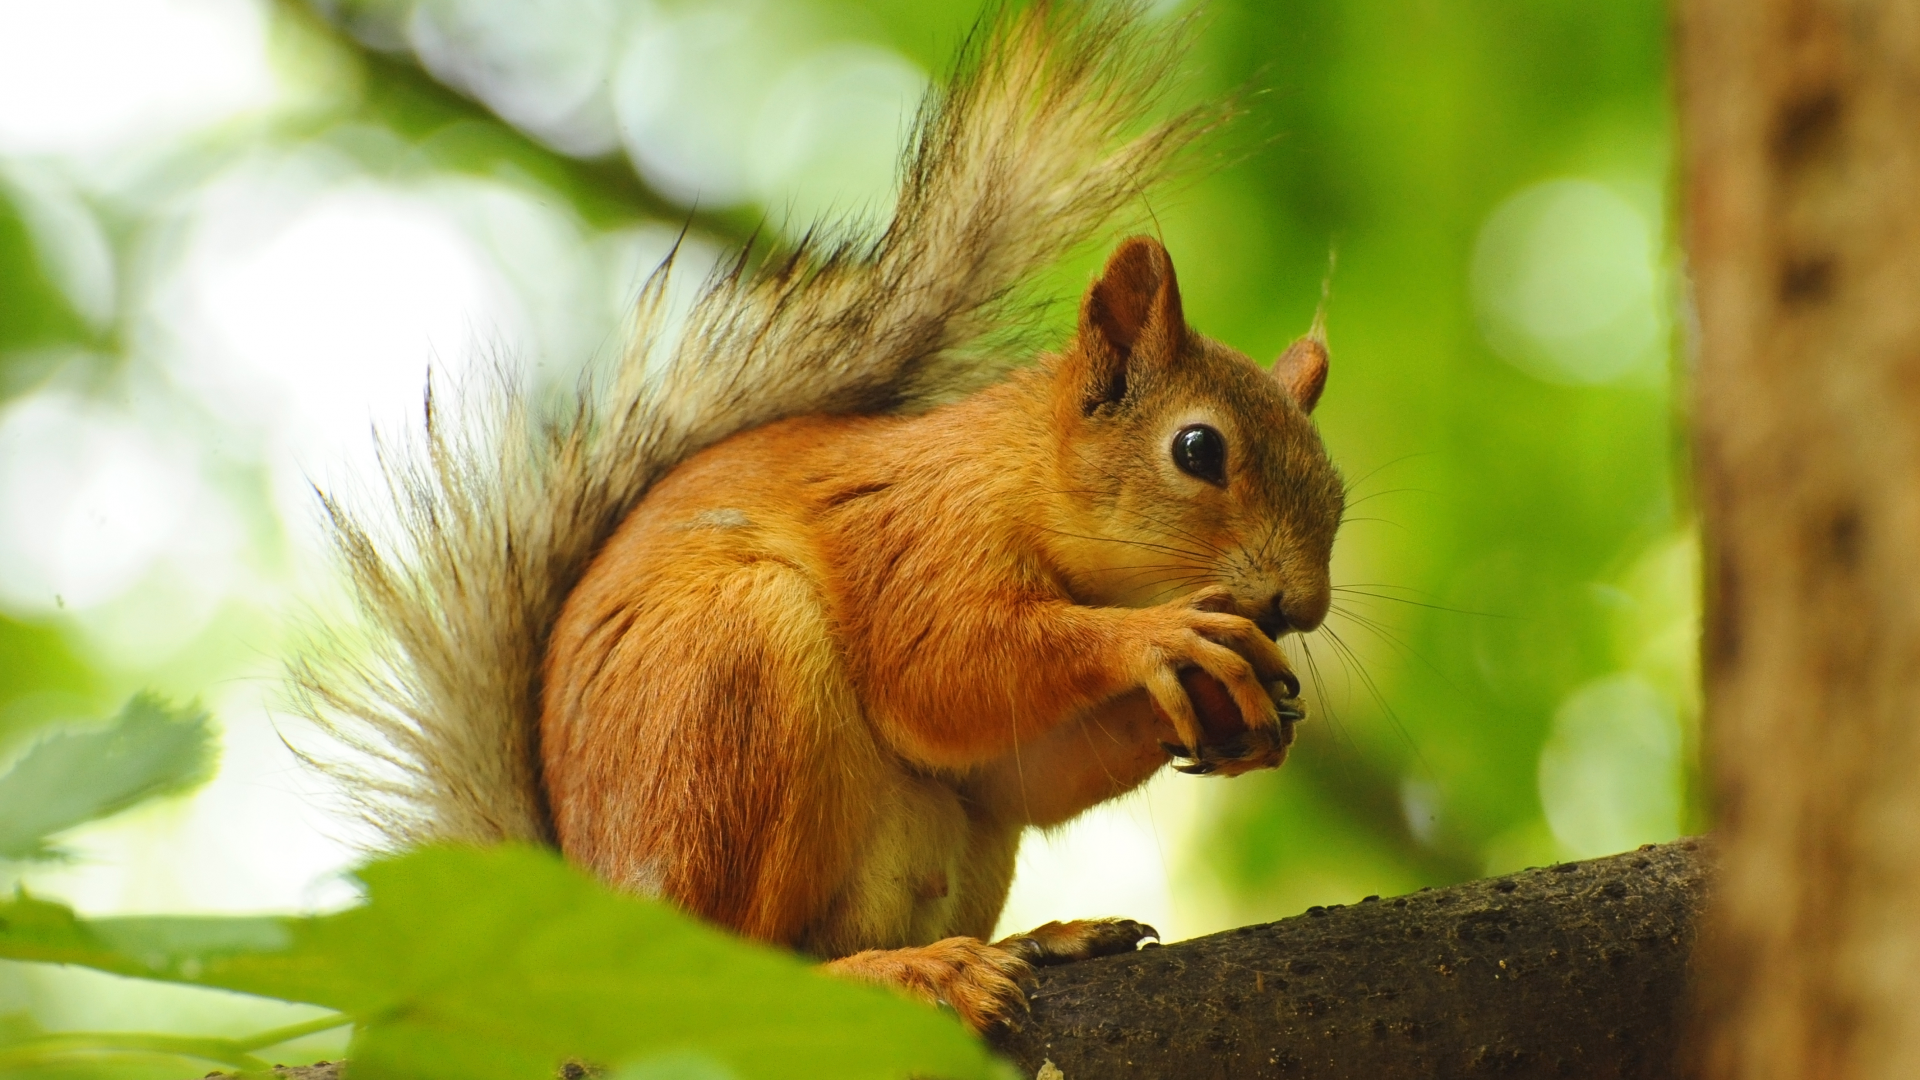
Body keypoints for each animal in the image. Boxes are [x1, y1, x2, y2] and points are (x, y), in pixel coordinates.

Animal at [291, 0, 1344, 1022]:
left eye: (1336, 492)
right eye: (1198, 451)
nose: (1301, 606)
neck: (1019, 476)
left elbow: (1019, 771)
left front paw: (1248, 709)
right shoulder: (917, 535)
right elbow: (942, 669)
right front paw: (1162, 638)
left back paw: (1039, 940)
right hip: (731, 689)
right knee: (738, 965)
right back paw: (909, 971)